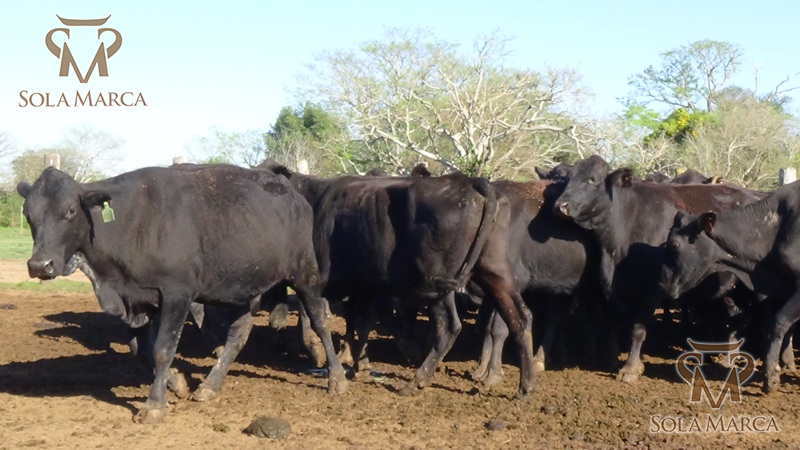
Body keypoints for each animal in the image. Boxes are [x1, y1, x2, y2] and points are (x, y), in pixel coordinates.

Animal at [17, 164, 347, 423]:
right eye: (28, 214)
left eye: (70, 211)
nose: (40, 265)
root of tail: (293, 196)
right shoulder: (137, 300)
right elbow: (140, 349)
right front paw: (176, 382)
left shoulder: (177, 294)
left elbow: (163, 349)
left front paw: (154, 405)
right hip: (238, 288)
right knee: (240, 332)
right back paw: (210, 386)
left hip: (304, 273)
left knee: (320, 321)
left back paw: (337, 378)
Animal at [259, 160, 536, 398]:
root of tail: (470, 182)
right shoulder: (364, 285)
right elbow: (360, 321)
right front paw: (359, 364)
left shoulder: (313, 278)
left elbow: (316, 318)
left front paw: (324, 360)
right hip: (494, 272)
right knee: (520, 317)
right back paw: (525, 386)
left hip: (436, 283)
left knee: (449, 326)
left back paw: (416, 381)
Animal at [552, 155, 765, 383]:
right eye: (568, 178)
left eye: (592, 179)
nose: (559, 205)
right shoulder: (613, 287)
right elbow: (613, 322)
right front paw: (610, 359)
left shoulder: (653, 288)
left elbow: (638, 330)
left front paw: (630, 368)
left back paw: (729, 356)